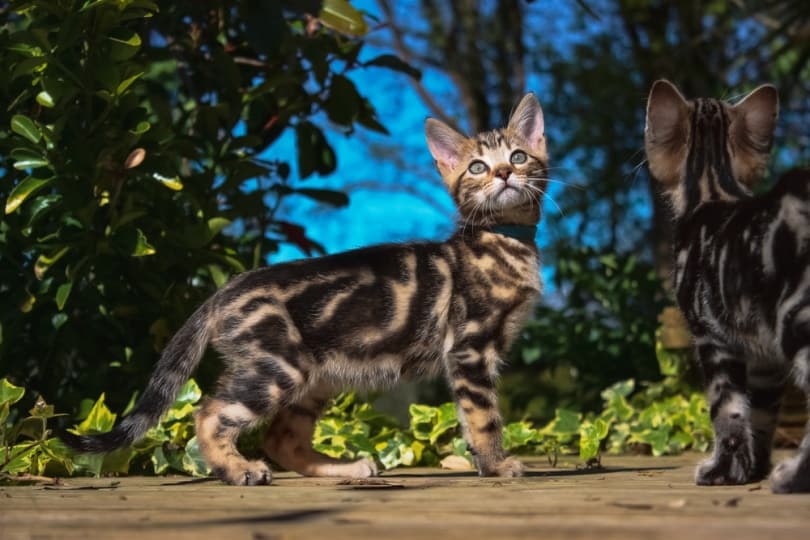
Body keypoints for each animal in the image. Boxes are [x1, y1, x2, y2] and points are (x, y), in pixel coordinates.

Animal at [60, 93, 548, 486]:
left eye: (520, 156)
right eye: (477, 167)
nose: (504, 173)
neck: (501, 240)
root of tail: (223, 291)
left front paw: (489, 464)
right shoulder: (469, 350)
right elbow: (483, 417)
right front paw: (497, 465)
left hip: (315, 378)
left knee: (282, 440)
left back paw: (343, 468)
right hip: (277, 368)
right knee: (209, 414)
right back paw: (237, 470)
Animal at [644, 79, 808, 494]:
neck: (714, 189)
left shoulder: (711, 337)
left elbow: (727, 410)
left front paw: (723, 470)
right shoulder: (765, 359)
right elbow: (762, 416)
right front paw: (753, 469)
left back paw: (794, 478)